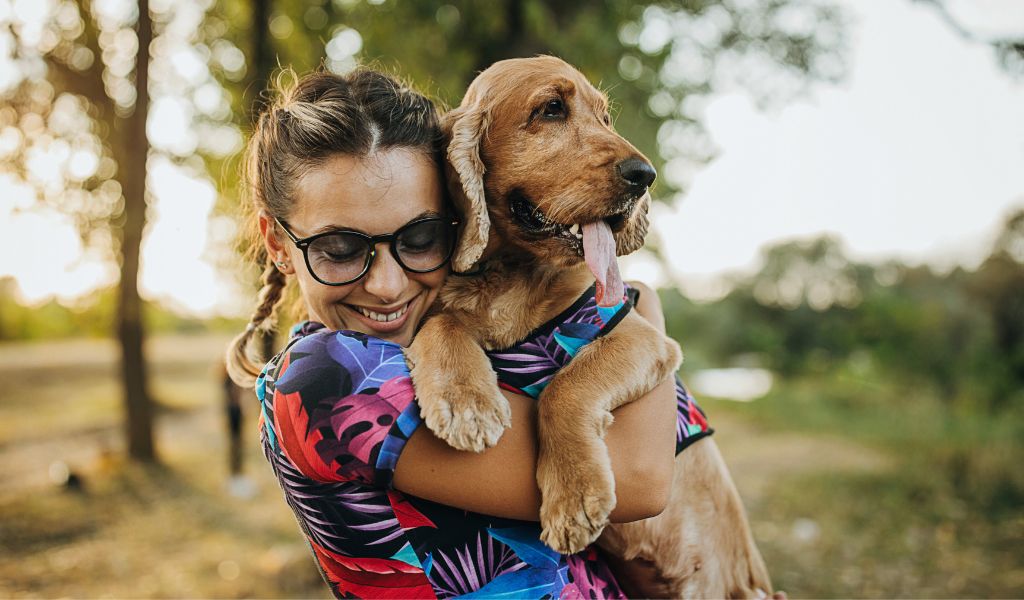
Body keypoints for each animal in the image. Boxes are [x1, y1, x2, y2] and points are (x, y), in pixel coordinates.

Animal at [403, 54, 770, 593]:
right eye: (551, 109)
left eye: (606, 118)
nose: (645, 174)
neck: (513, 274)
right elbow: (443, 324)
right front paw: (465, 401)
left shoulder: (641, 336)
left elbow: (565, 388)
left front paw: (574, 498)